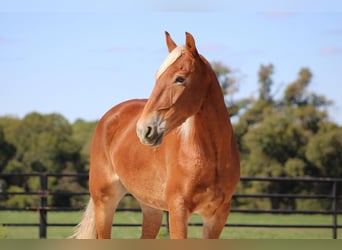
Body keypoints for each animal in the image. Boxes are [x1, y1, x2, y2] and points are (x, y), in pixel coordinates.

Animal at [74, 32, 240, 239]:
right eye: (158, 77)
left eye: (179, 78)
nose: (144, 129)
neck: (210, 156)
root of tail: (110, 116)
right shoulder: (178, 210)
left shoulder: (217, 216)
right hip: (104, 201)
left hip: (150, 208)